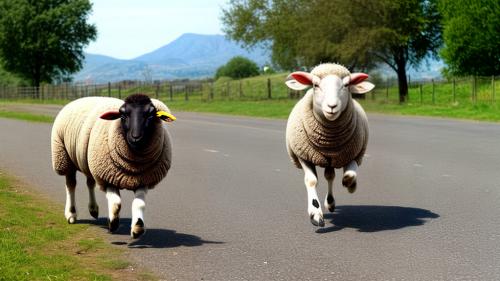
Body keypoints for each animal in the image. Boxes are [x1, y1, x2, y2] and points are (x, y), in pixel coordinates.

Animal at [51, 93, 176, 236]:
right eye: (123, 116)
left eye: (150, 115)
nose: (136, 137)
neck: (132, 167)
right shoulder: (108, 178)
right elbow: (116, 203)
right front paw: (113, 224)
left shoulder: (143, 180)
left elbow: (139, 204)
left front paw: (138, 228)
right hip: (64, 158)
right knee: (71, 185)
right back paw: (71, 214)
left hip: (90, 162)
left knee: (90, 183)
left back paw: (93, 210)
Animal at [286, 63, 376, 225]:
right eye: (315, 85)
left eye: (346, 85)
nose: (332, 106)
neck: (328, 142)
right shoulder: (303, 156)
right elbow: (311, 181)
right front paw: (315, 214)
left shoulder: (354, 154)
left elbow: (350, 174)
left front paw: (350, 185)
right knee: (328, 176)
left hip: (333, 160)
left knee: (330, 176)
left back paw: (331, 202)